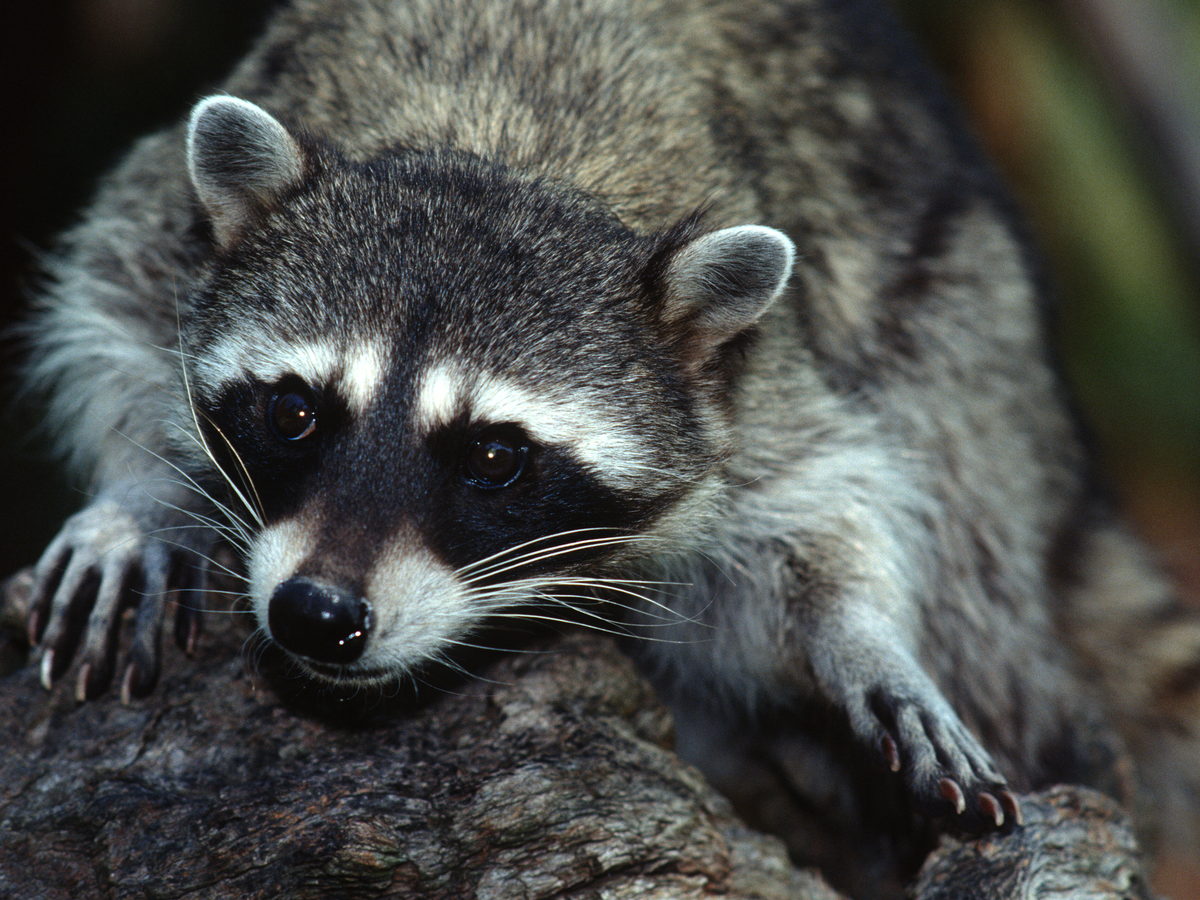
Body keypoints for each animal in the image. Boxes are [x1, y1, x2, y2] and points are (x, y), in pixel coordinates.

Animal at [16, 0, 1200, 870]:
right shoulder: (176, 222)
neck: (498, 147)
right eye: (297, 413)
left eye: (494, 458)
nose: (319, 616)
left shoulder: (747, 378)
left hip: (971, 345)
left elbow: (824, 501)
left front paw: (863, 636)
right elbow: (112, 307)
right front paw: (139, 496)